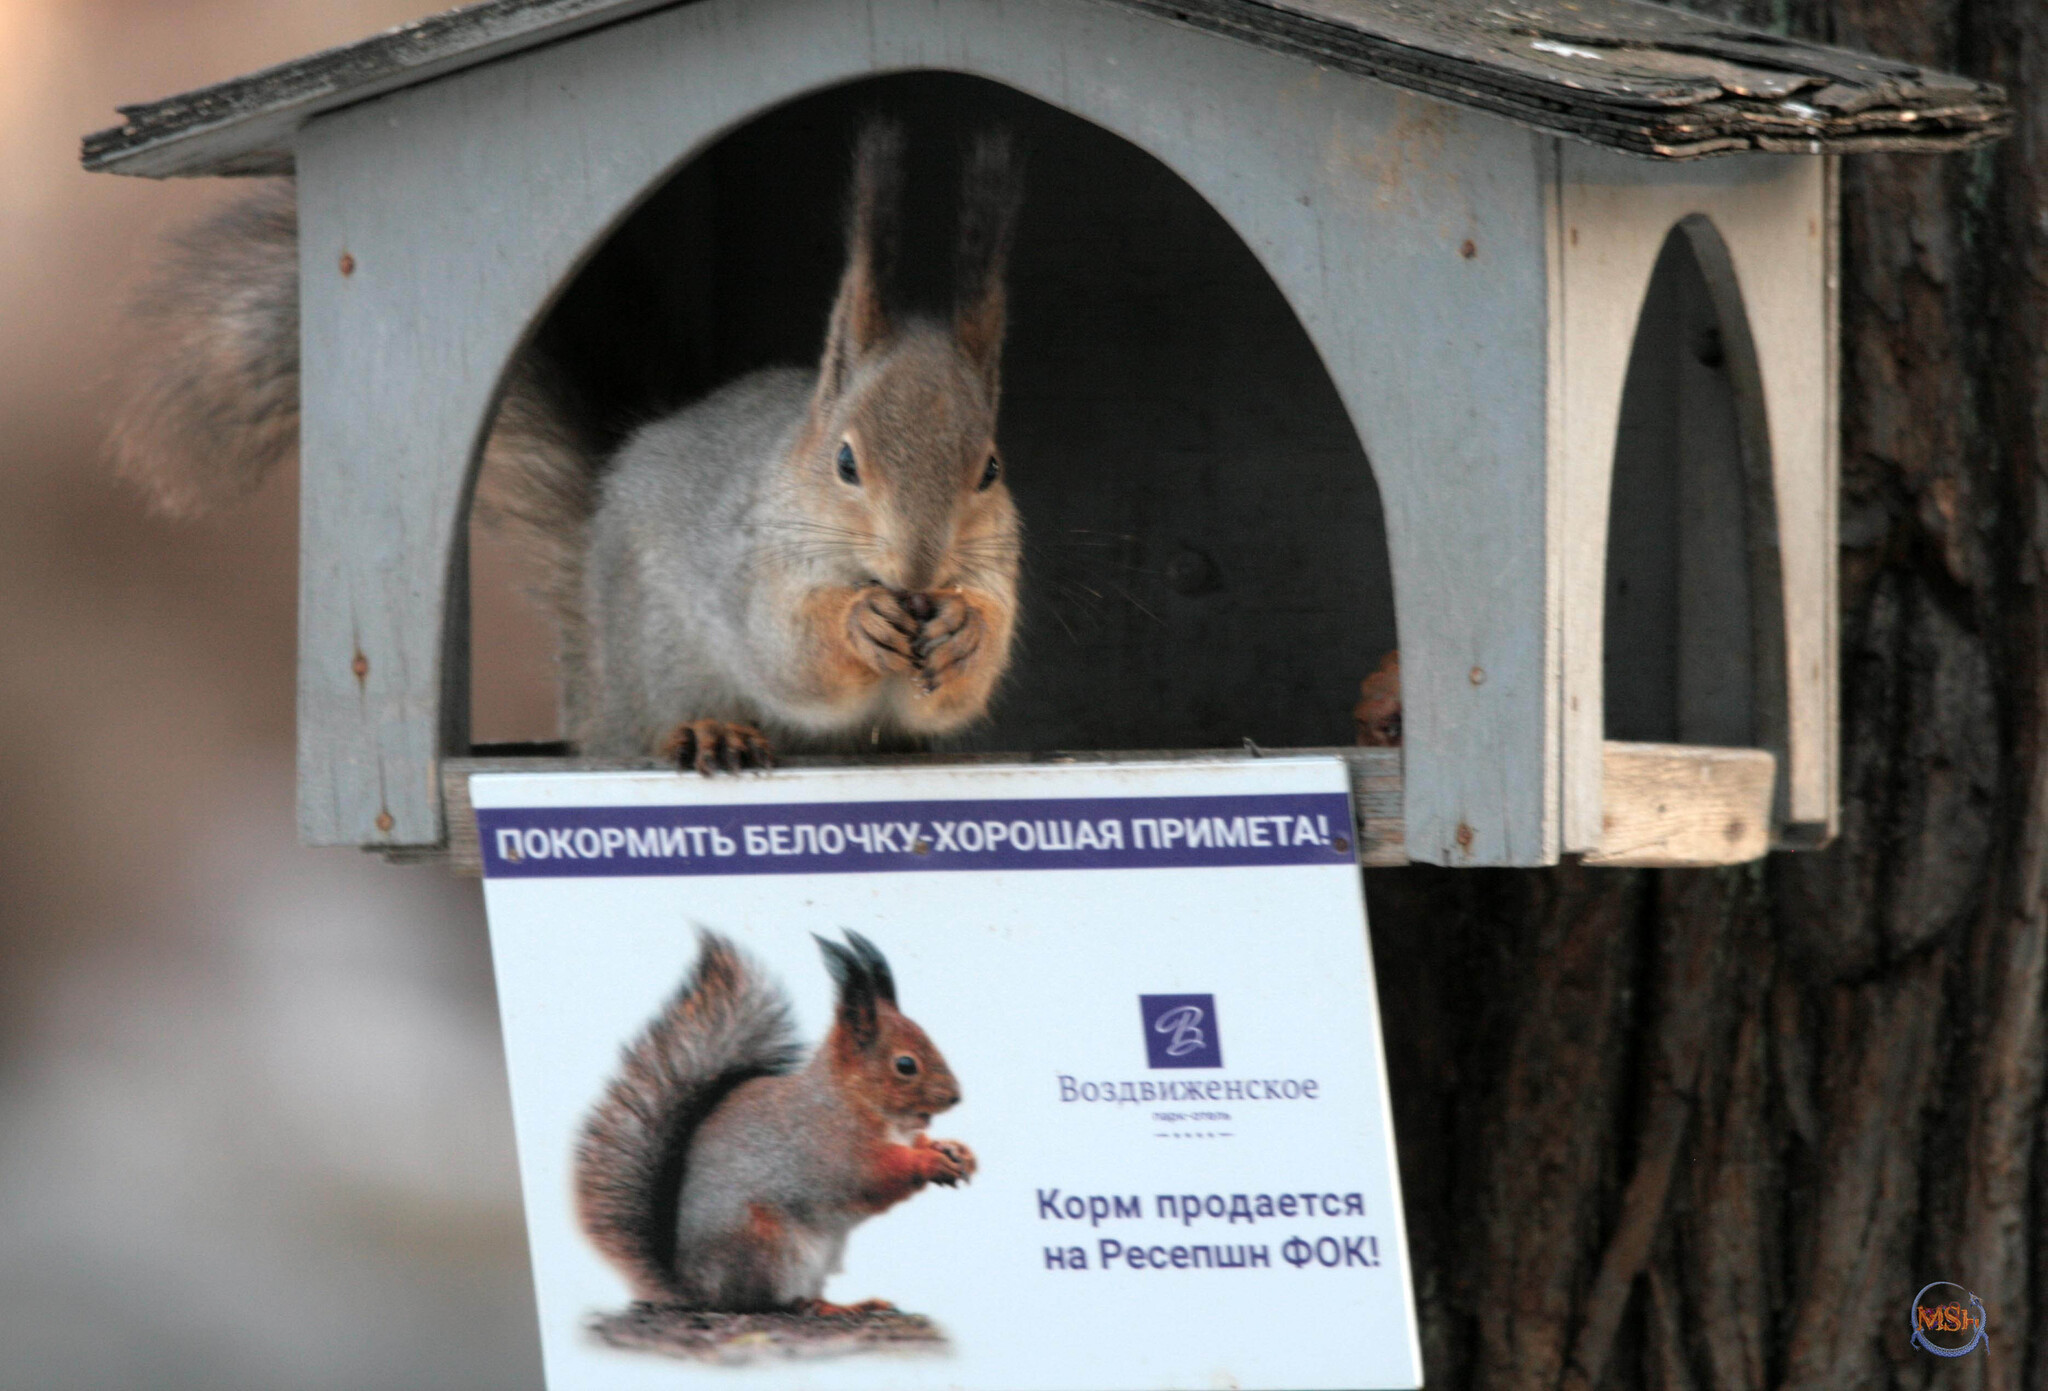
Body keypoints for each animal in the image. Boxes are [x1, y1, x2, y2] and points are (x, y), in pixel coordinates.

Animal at [112, 119, 1024, 774]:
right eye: (844, 463)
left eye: (990, 467)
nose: (918, 571)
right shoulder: (752, 564)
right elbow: (789, 651)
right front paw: (859, 620)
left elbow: (967, 675)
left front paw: (965, 630)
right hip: (649, 658)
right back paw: (708, 733)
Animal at [581, 930, 978, 1311]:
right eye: (906, 1065)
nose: (956, 1096)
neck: (855, 1099)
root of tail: (698, 1291)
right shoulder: (830, 1146)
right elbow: (873, 1174)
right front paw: (927, 1161)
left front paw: (955, 1151)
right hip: (768, 1244)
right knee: (771, 1303)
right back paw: (825, 1308)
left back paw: (854, 1304)